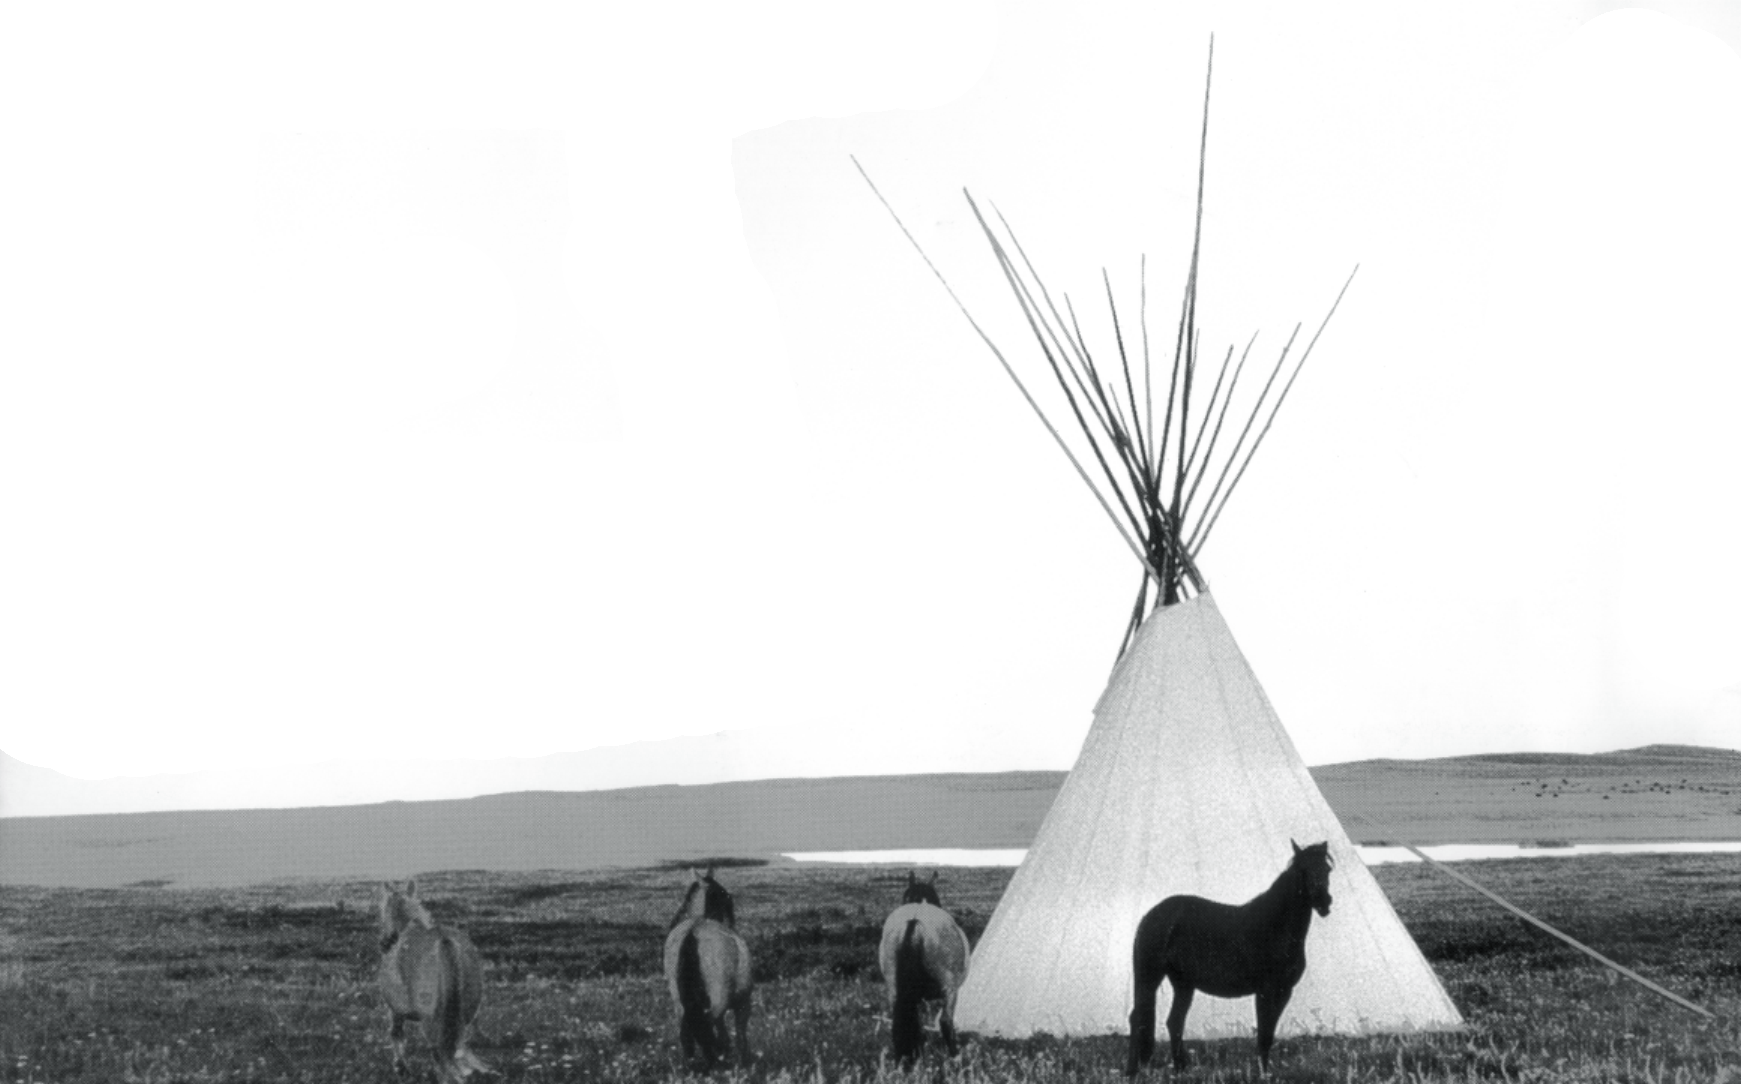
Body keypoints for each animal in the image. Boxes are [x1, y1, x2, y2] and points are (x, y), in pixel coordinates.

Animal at [377, 879, 490, 1083]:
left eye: (383, 909)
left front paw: (400, 1067)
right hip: (463, 1019)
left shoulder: (394, 1010)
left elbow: (396, 1035)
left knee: (439, 1057)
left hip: (431, 1024)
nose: (384, 943)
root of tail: (443, 941)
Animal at [662, 868, 753, 1070]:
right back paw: (717, 1061)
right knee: (707, 1026)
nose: (730, 920)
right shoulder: (743, 1002)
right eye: (724, 895)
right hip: (719, 1001)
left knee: (687, 1032)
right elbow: (740, 1036)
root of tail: (693, 933)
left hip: (679, 1003)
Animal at [1125, 840, 1335, 1076]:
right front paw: (1262, 1074)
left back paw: (1181, 1069)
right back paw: (1132, 1071)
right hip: (1149, 978)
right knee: (1137, 1018)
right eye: (1302, 870)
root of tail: (1150, 916)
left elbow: (1269, 1033)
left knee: (1174, 1022)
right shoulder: (1265, 991)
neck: (1275, 927)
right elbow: (1264, 1034)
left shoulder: (1284, 991)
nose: (1324, 902)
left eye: (1327, 869)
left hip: (1183, 984)